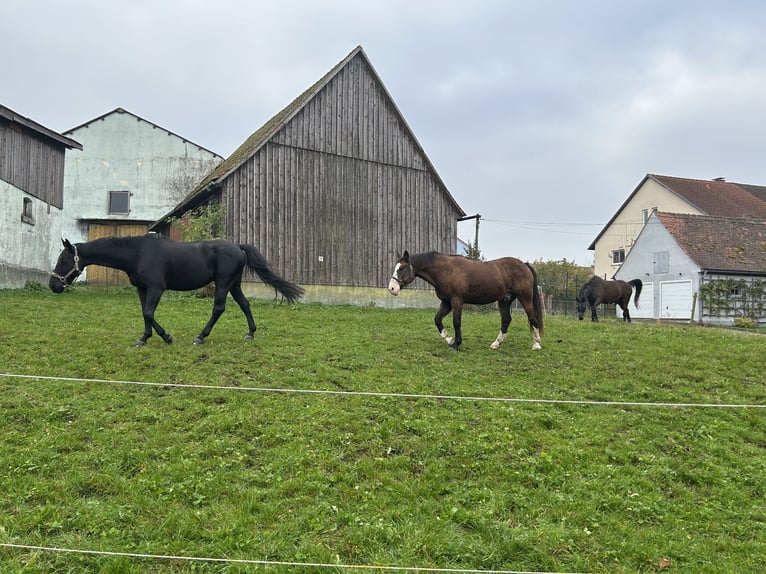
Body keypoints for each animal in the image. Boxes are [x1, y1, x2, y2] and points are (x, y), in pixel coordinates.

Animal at [47, 237, 306, 348]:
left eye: (63, 259)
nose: (53, 286)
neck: (137, 253)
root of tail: (238, 246)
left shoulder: (156, 288)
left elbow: (149, 313)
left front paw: (166, 337)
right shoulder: (142, 289)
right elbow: (145, 313)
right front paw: (144, 338)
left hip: (223, 284)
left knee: (219, 308)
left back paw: (200, 337)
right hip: (234, 284)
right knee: (245, 305)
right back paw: (250, 334)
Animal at [390, 252, 544, 352]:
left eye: (402, 268)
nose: (392, 288)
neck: (446, 271)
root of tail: (524, 265)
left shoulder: (457, 301)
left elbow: (456, 322)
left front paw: (456, 344)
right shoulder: (446, 302)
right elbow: (437, 320)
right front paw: (449, 339)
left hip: (525, 298)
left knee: (533, 318)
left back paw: (536, 344)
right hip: (504, 300)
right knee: (506, 320)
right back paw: (496, 343)